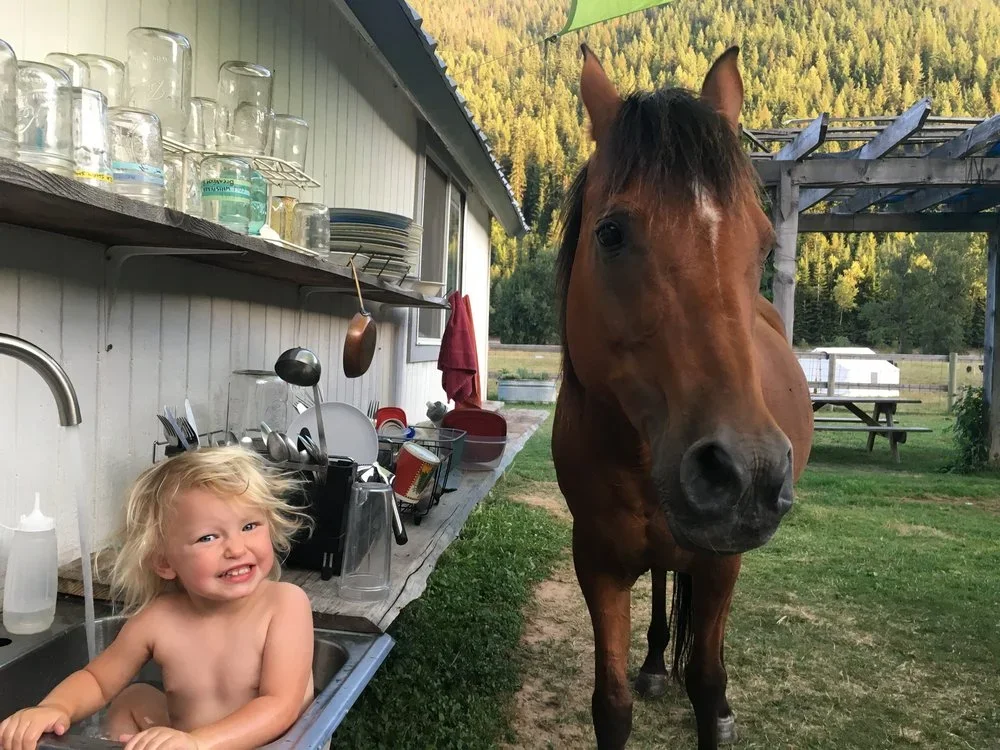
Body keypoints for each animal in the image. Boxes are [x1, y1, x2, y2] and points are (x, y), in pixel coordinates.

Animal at [552, 44, 814, 749]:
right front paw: (637, 675)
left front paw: (715, 709)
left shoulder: (721, 564)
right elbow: (611, 704)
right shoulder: (597, 562)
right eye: (610, 234)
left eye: (764, 242)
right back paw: (651, 662)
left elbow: (707, 680)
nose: (745, 472)